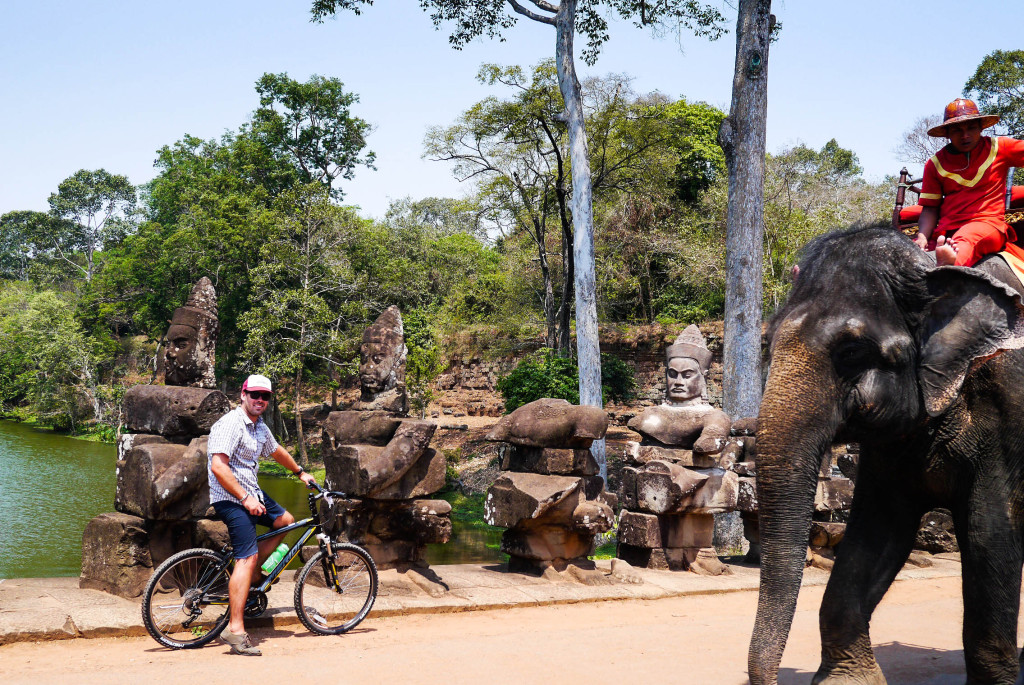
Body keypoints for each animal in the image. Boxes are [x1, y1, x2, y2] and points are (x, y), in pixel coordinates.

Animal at [749, 222, 1024, 679]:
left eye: (851, 351)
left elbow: (991, 534)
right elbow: (877, 529)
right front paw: (847, 678)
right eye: (767, 343)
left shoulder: (1009, 412)